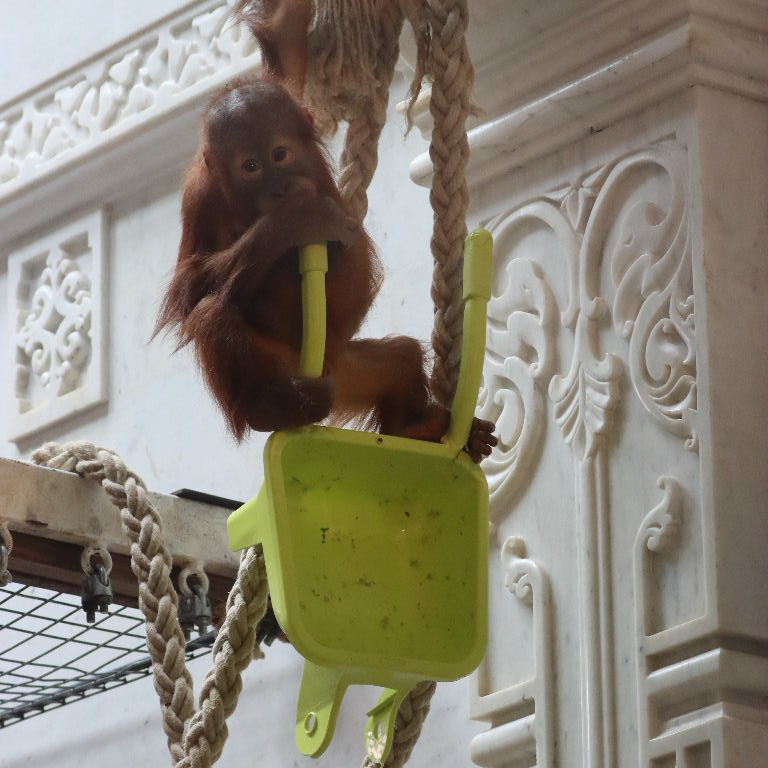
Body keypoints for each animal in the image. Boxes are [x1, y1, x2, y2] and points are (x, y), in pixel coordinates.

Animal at [155, 78, 497, 462]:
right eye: (251, 166)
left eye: (279, 154)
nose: (278, 189)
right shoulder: (198, 196)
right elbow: (188, 288)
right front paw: (295, 219)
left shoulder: (321, 179)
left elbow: (353, 268)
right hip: (280, 367)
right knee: (211, 312)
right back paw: (269, 408)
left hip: (344, 371)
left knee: (401, 358)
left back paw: (417, 429)